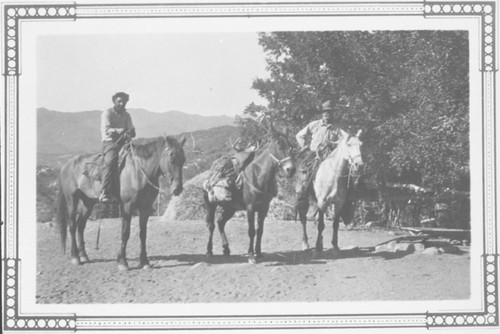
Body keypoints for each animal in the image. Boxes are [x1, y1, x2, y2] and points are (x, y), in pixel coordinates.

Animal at [56, 134, 186, 270]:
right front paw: (122, 261)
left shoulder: (146, 208)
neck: (138, 172)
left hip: (88, 202)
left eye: (184, 160)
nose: (177, 189)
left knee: (81, 225)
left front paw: (144, 261)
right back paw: (75, 257)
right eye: (172, 157)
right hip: (72, 199)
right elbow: (125, 233)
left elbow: (143, 233)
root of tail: (66, 166)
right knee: (72, 225)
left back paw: (84, 255)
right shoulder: (127, 207)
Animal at [204, 125, 296, 264]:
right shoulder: (250, 207)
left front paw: (258, 252)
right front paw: (251, 255)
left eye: (291, 147)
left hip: (230, 208)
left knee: (220, 223)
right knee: (211, 226)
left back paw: (226, 249)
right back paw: (209, 251)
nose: (291, 170)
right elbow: (251, 231)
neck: (258, 176)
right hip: (211, 205)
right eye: (278, 145)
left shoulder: (264, 208)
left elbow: (260, 230)